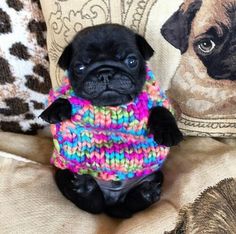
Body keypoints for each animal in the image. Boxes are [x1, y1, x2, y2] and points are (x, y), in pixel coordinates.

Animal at [40, 23, 183, 218]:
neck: (112, 106)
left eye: (131, 61)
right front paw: (54, 109)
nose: (105, 73)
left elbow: (161, 110)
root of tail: (113, 202)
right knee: (94, 205)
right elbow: (65, 99)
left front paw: (169, 132)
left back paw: (146, 193)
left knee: (131, 205)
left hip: (156, 176)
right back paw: (85, 188)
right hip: (63, 174)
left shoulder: (155, 99)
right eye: (80, 68)